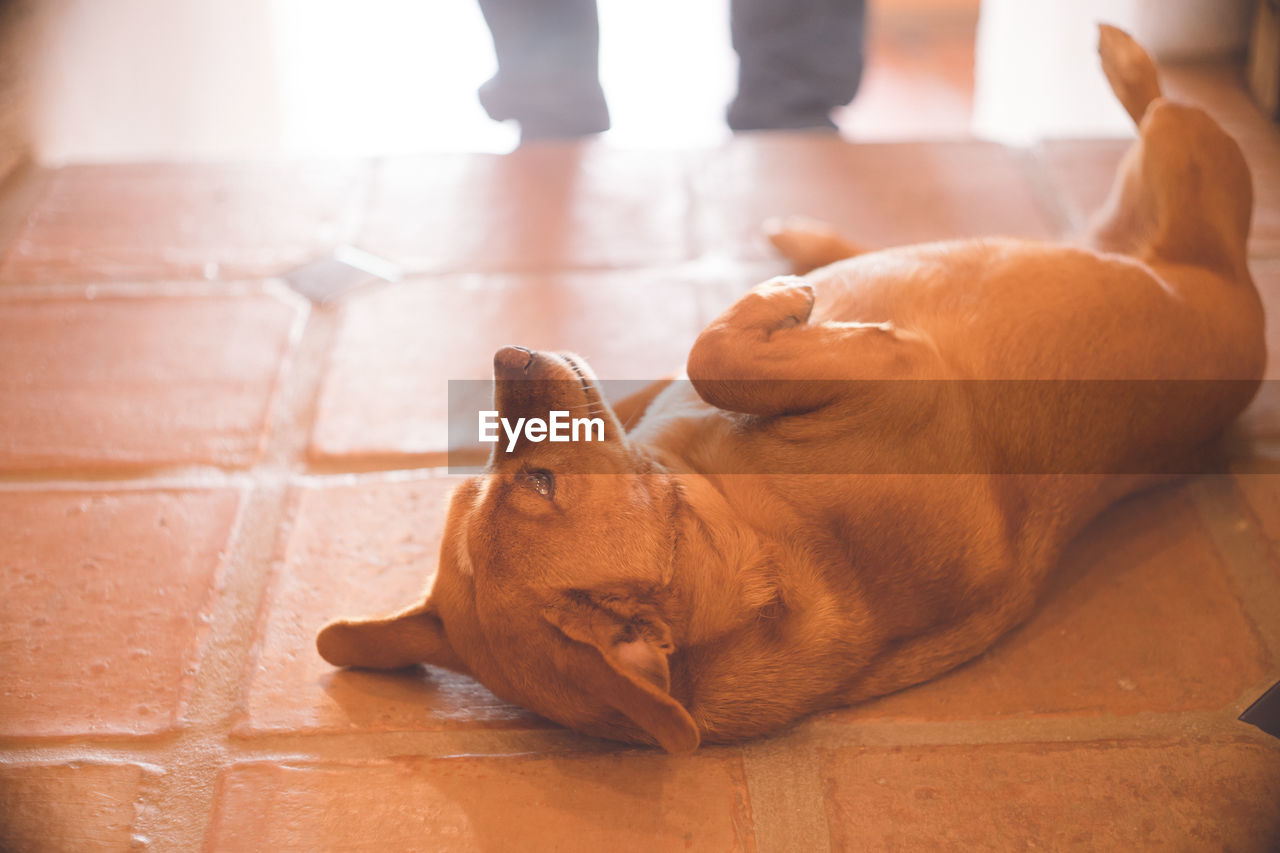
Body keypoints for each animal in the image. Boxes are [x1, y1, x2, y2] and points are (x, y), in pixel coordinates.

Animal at [317, 28, 1259, 753]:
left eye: (491, 483)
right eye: (538, 484)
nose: (507, 352)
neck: (738, 515)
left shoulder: (652, 403)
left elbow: (677, 367)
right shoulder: (895, 369)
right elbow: (714, 351)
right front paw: (783, 305)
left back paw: (810, 238)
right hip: (1192, 169)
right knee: (1161, 110)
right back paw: (1125, 59)